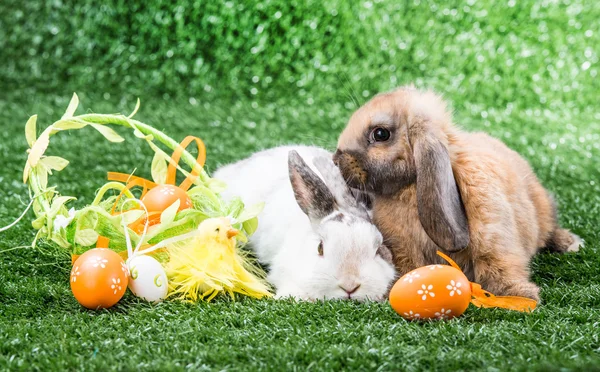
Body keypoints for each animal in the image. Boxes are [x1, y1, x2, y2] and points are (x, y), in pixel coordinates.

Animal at [332, 85, 580, 300]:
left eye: (381, 134)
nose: (336, 159)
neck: (410, 189)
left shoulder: (493, 235)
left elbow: (496, 263)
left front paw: (519, 296)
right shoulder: (400, 244)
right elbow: (406, 265)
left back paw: (570, 243)